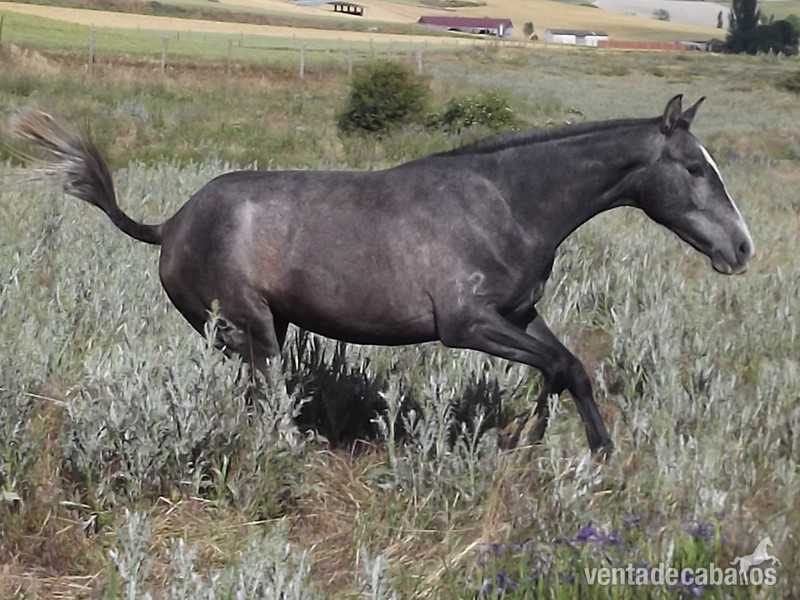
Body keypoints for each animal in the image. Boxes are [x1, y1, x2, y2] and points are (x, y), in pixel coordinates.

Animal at [10, 94, 754, 455]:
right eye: (695, 167)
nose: (743, 248)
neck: (506, 201)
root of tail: (170, 224)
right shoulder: (467, 325)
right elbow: (560, 367)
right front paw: (551, 447)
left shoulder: (517, 315)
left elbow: (567, 367)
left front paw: (566, 448)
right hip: (250, 330)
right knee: (264, 394)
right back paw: (293, 451)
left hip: (254, 330)